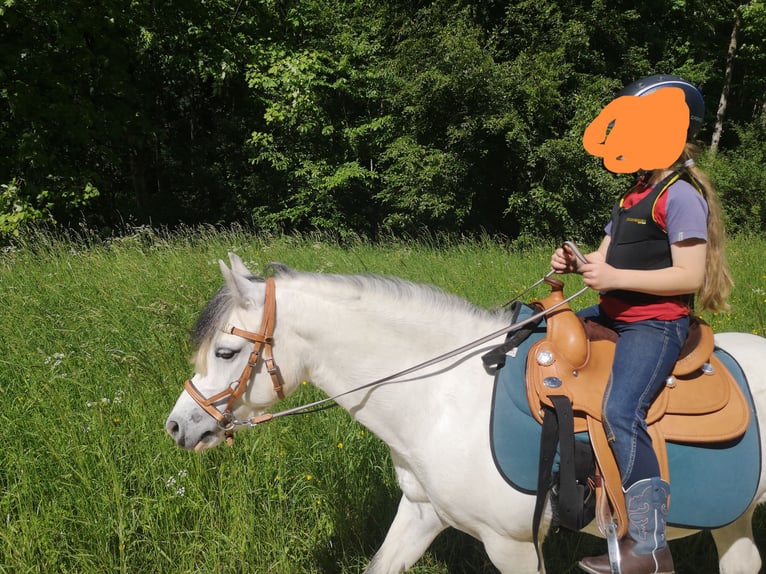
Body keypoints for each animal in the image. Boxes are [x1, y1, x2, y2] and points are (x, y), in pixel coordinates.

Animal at [166, 256, 766, 574]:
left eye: (226, 352)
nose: (178, 426)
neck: (443, 400)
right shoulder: (420, 513)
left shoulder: (513, 545)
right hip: (733, 520)